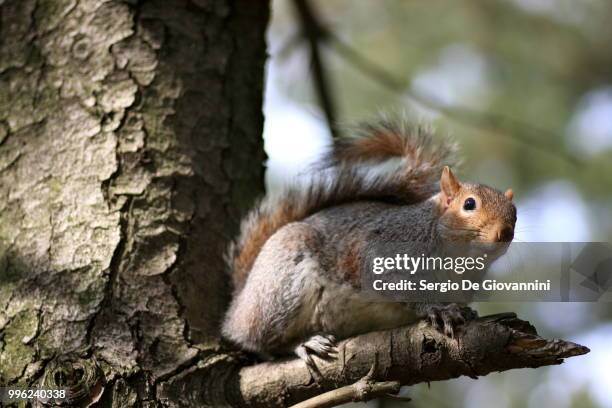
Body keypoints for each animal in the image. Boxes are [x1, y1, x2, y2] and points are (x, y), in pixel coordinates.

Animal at [220, 119, 516, 368]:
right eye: (469, 204)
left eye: (514, 212)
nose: (504, 233)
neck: (458, 257)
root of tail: (240, 301)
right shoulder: (389, 248)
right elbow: (393, 283)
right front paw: (435, 309)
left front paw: (466, 311)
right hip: (281, 290)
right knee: (263, 340)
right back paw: (305, 343)